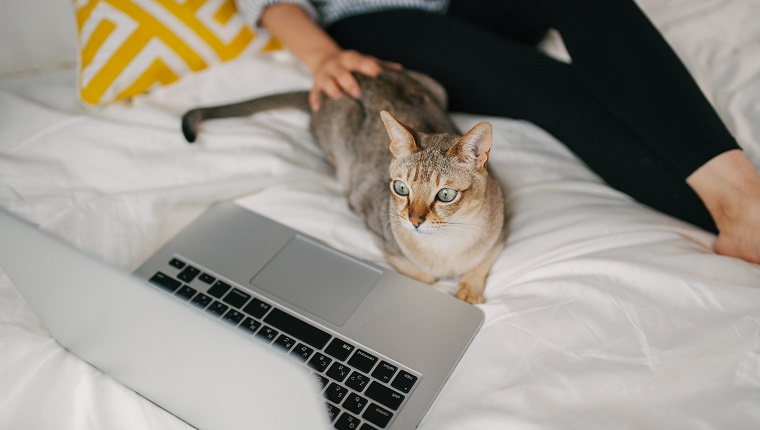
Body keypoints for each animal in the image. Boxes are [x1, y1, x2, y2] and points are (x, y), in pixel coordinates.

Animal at [181, 65, 508, 304]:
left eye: (446, 194)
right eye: (401, 188)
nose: (414, 220)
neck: (448, 247)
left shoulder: (501, 226)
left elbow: (483, 260)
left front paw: (469, 289)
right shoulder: (375, 225)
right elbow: (426, 275)